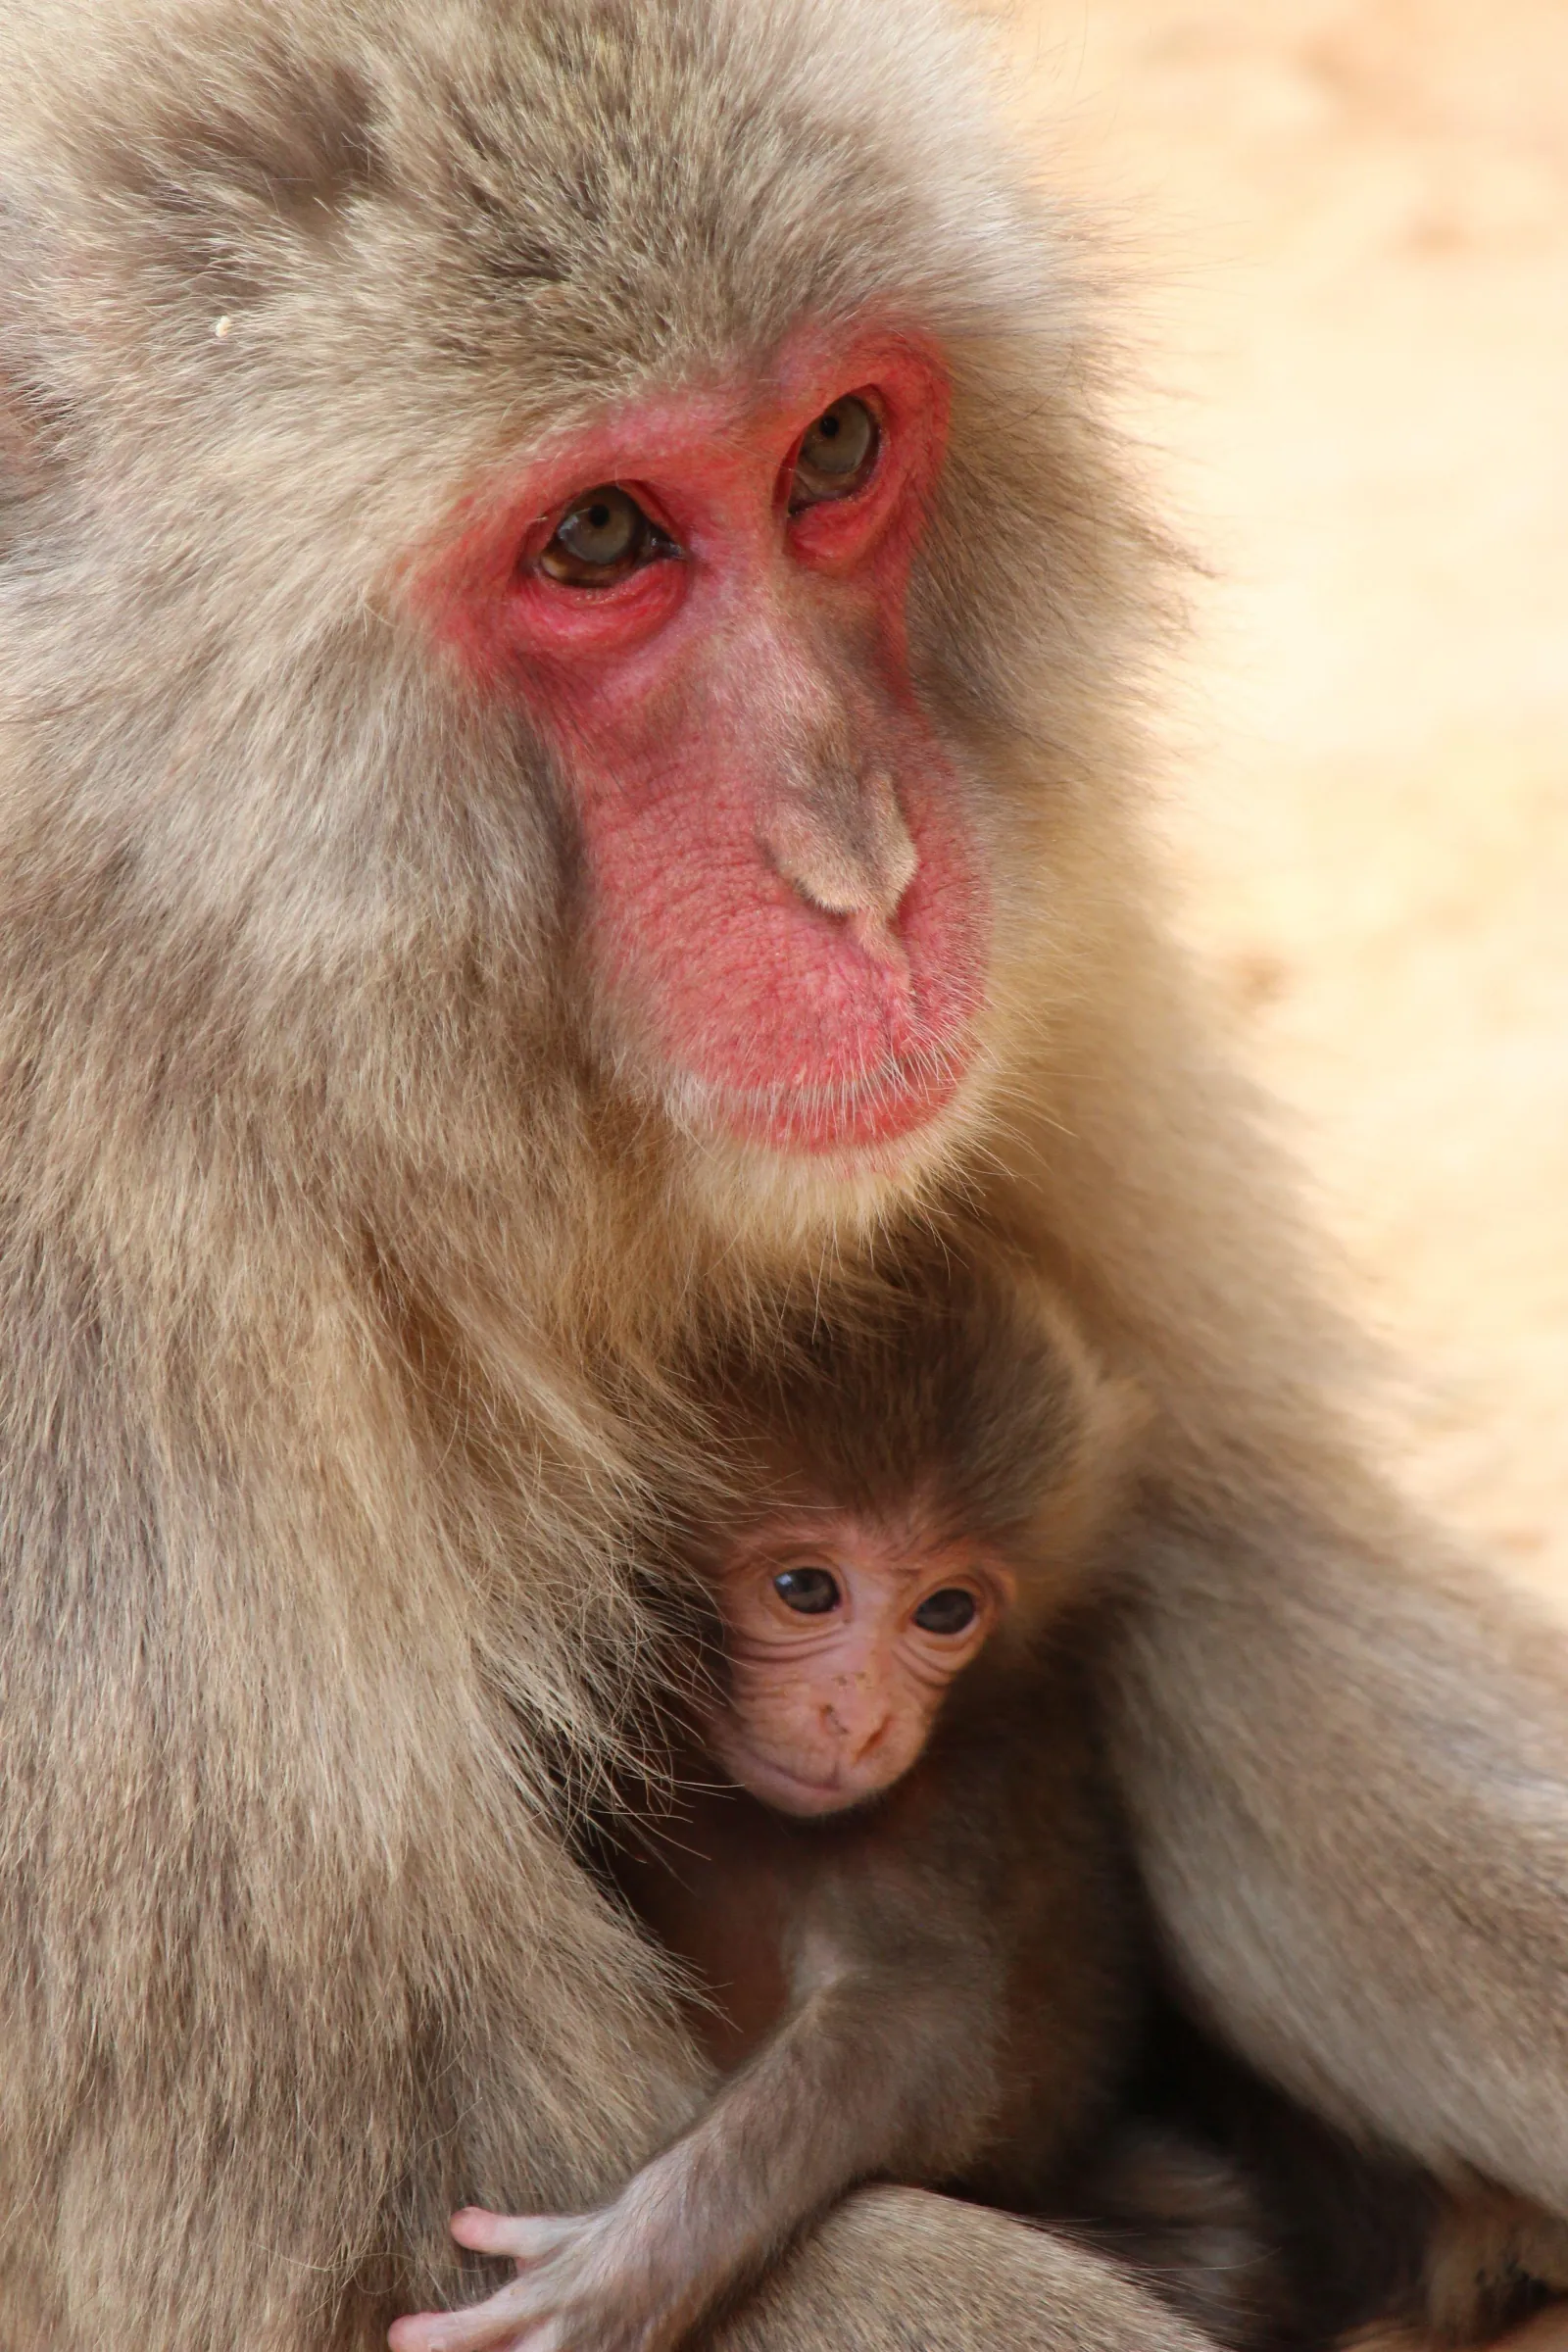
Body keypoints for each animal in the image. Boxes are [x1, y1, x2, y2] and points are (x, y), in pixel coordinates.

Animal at [0, 1, 1564, 2349]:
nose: (872, 871)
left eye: (832, 451)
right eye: (597, 539)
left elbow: (1214, 1592)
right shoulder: (76, 1350)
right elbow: (384, 2224)